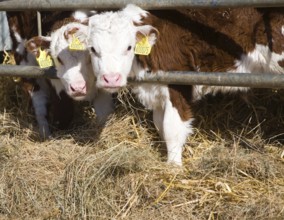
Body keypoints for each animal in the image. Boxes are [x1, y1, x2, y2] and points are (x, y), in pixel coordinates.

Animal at [87, 4, 284, 165]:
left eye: (129, 47)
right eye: (93, 49)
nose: (110, 79)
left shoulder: (178, 82)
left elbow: (171, 127)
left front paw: (173, 166)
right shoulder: (156, 88)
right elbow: (159, 123)